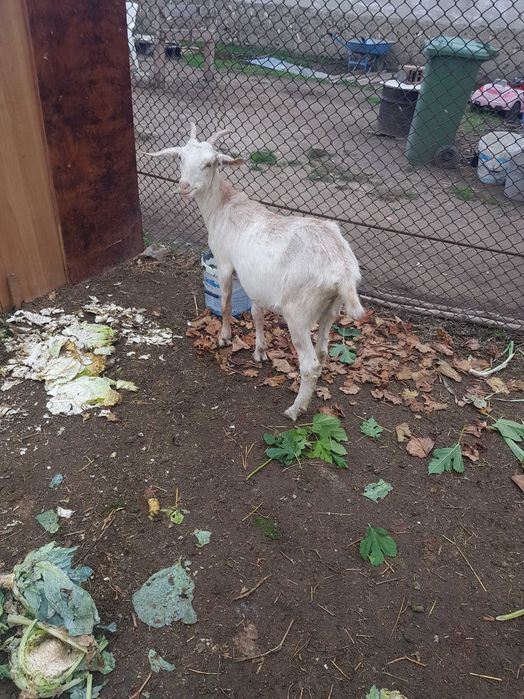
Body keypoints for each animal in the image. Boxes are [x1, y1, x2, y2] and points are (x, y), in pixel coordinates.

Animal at [146, 121, 364, 420]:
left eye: (210, 163)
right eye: (180, 157)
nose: (184, 186)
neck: (223, 207)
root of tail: (342, 268)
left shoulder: (225, 264)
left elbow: (226, 304)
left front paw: (224, 337)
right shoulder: (254, 281)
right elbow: (256, 313)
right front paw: (260, 351)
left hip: (298, 312)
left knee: (309, 364)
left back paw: (295, 409)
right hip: (331, 310)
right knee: (322, 353)